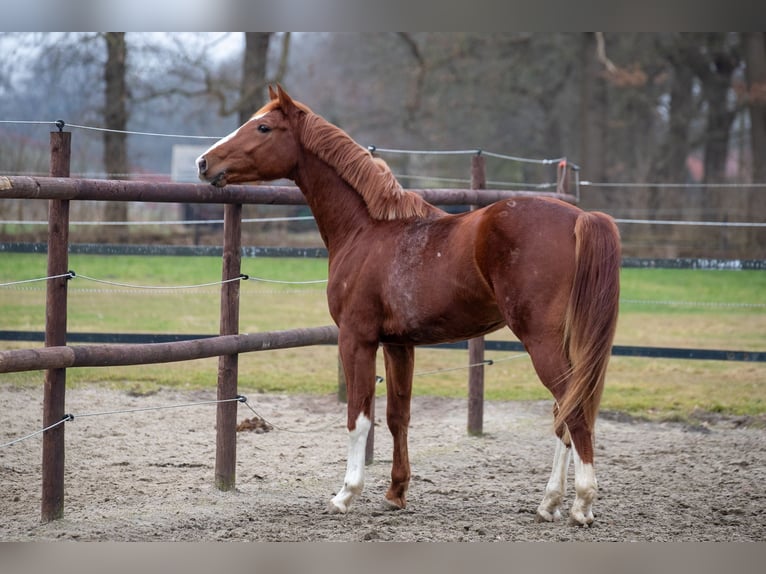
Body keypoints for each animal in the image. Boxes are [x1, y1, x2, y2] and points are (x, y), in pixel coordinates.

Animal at [200, 84, 624, 528]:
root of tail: (580, 218)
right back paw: (549, 502)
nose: (204, 163)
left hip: (540, 340)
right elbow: (396, 416)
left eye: (263, 127)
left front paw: (346, 494)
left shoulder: (357, 339)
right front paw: (395, 492)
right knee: (566, 410)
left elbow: (358, 417)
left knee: (573, 412)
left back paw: (581, 504)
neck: (367, 229)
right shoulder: (399, 344)